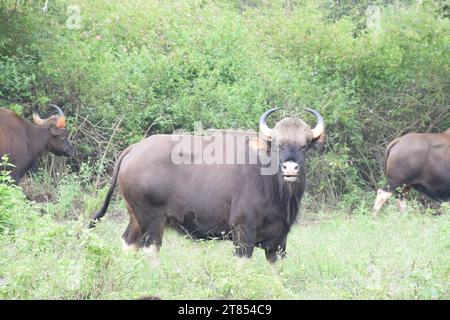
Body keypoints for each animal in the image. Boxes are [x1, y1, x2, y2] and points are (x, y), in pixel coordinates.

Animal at [90, 108, 324, 262]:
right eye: (277, 146)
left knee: (128, 242)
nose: (290, 168)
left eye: (304, 146)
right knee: (151, 250)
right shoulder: (243, 233)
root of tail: (135, 149)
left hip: (135, 218)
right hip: (152, 221)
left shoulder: (279, 241)